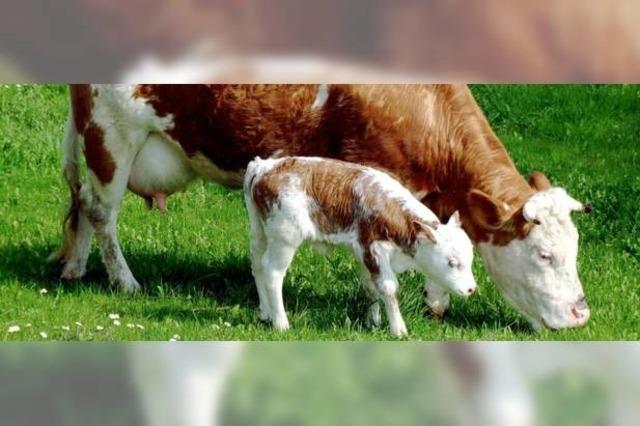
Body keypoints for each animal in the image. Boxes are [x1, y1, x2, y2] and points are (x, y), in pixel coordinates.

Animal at [244, 156, 476, 336]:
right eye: (452, 262)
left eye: (471, 259)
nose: (471, 289)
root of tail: (264, 166)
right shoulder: (374, 249)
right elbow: (389, 288)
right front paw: (398, 330)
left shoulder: (363, 252)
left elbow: (370, 288)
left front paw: (373, 322)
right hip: (284, 238)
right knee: (273, 273)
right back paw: (281, 323)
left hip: (259, 232)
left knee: (256, 266)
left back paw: (265, 313)